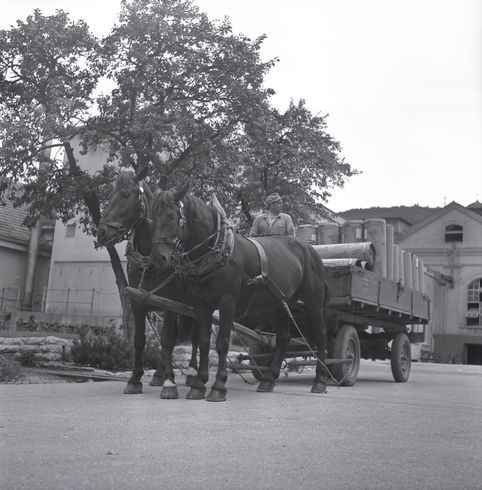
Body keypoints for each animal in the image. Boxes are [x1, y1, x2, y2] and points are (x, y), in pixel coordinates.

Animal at [96, 167, 198, 398]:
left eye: (125, 194)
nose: (101, 232)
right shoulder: (138, 302)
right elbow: (140, 340)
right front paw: (135, 379)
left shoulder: (170, 304)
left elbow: (168, 340)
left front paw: (170, 384)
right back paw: (159, 375)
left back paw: (191, 374)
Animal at [150, 186, 332, 404]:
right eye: (152, 216)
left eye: (171, 216)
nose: (158, 258)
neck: (217, 249)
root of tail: (310, 249)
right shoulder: (201, 306)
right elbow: (204, 342)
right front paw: (199, 384)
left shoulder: (227, 303)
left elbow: (221, 343)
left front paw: (218, 386)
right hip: (280, 303)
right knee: (284, 338)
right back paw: (268, 380)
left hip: (314, 301)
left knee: (321, 335)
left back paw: (320, 381)